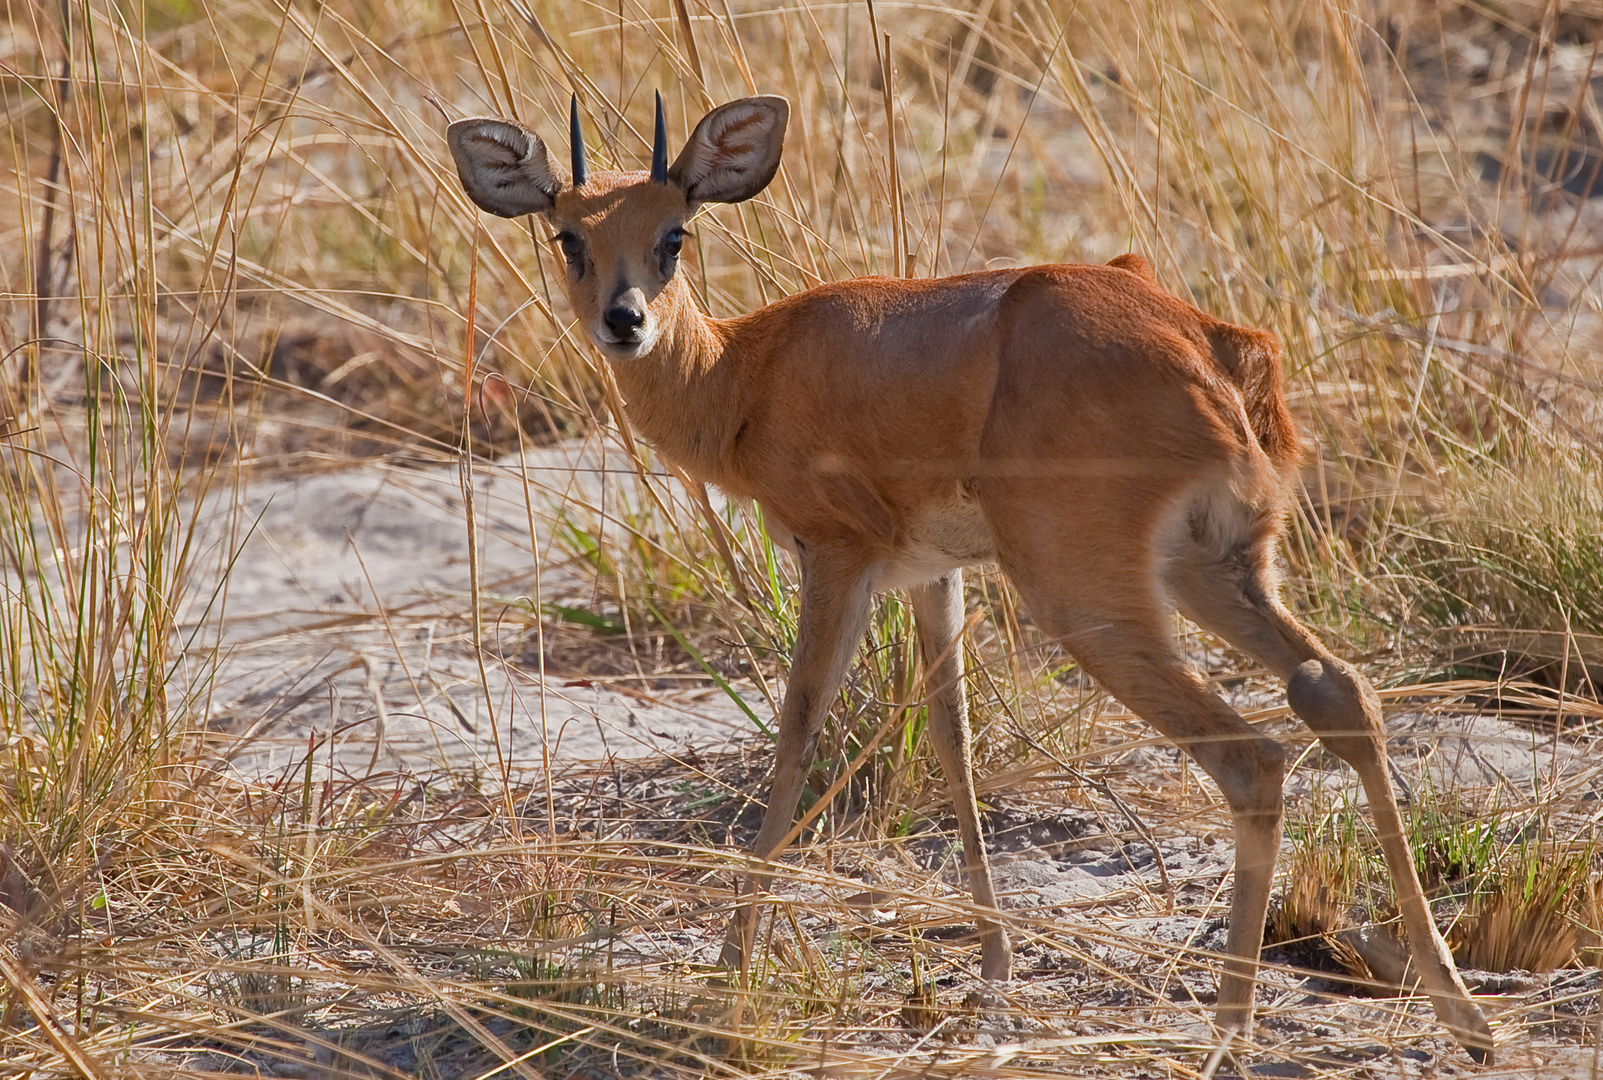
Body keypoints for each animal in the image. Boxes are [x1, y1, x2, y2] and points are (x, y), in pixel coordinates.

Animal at [448, 94, 1487, 1057]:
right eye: (569, 235)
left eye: (675, 232)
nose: (623, 322)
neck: (746, 373)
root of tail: (1212, 356)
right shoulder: (931, 572)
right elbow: (952, 737)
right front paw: (992, 967)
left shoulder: (838, 557)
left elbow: (797, 731)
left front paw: (725, 976)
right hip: (1216, 567)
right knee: (1337, 691)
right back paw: (1461, 1016)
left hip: (1088, 598)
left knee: (1253, 755)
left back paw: (1226, 1037)